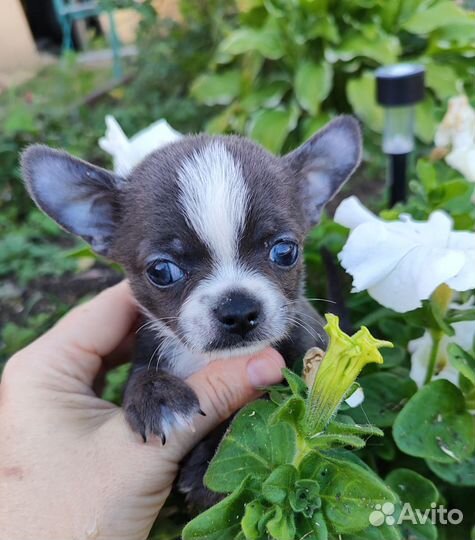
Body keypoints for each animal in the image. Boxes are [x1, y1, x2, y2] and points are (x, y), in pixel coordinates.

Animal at [20, 116, 362, 508]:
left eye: (285, 251)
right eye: (161, 271)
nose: (238, 309)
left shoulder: (304, 355)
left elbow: (266, 407)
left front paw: (208, 463)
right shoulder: (148, 344)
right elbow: (141, 374)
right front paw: (156, 397)